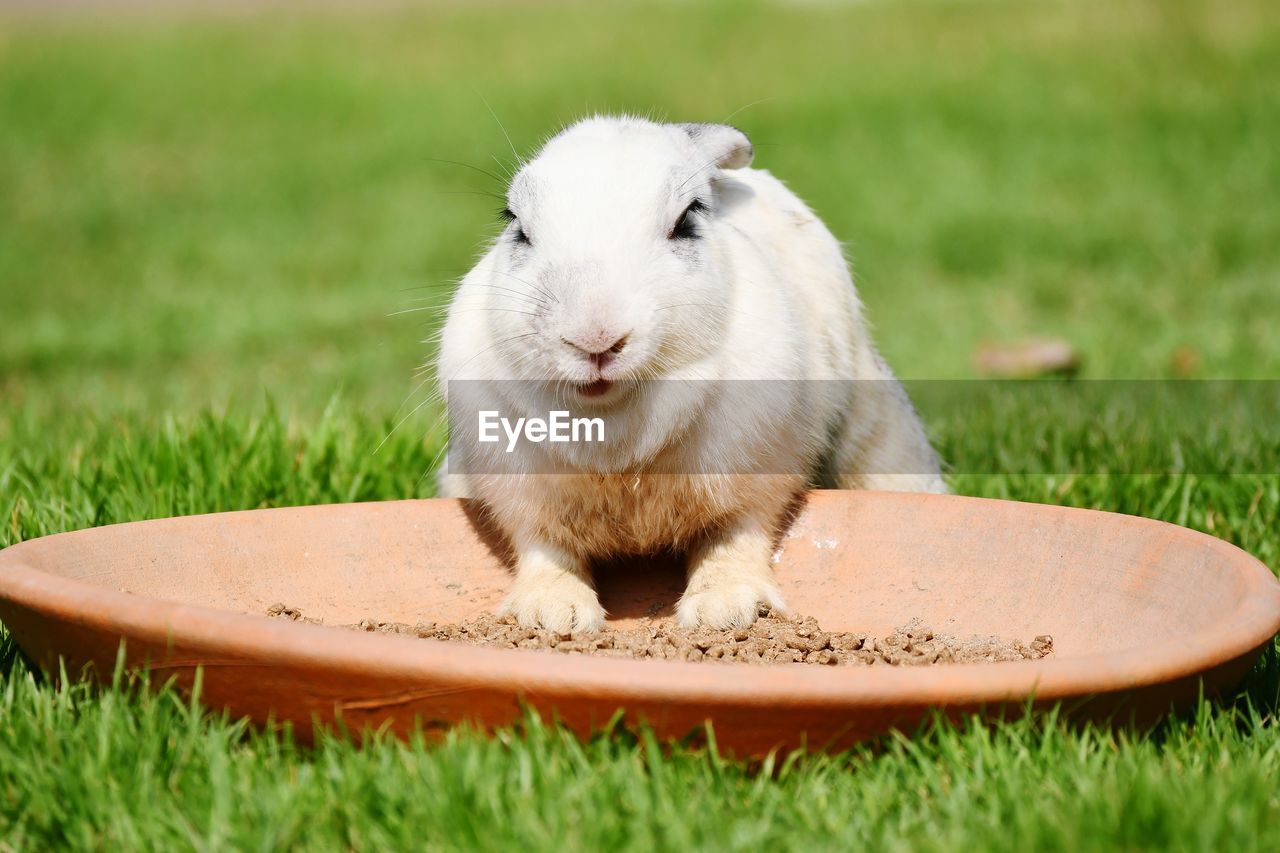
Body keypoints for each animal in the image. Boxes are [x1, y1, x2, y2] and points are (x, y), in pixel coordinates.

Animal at [435, 114, 947, 630]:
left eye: (686, 222)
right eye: (516, 226)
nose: (595, 338)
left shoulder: (755, 480)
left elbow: (734, 541)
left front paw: (726, 610)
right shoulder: (518, 496)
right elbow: (545, 551)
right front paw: (553, 615)